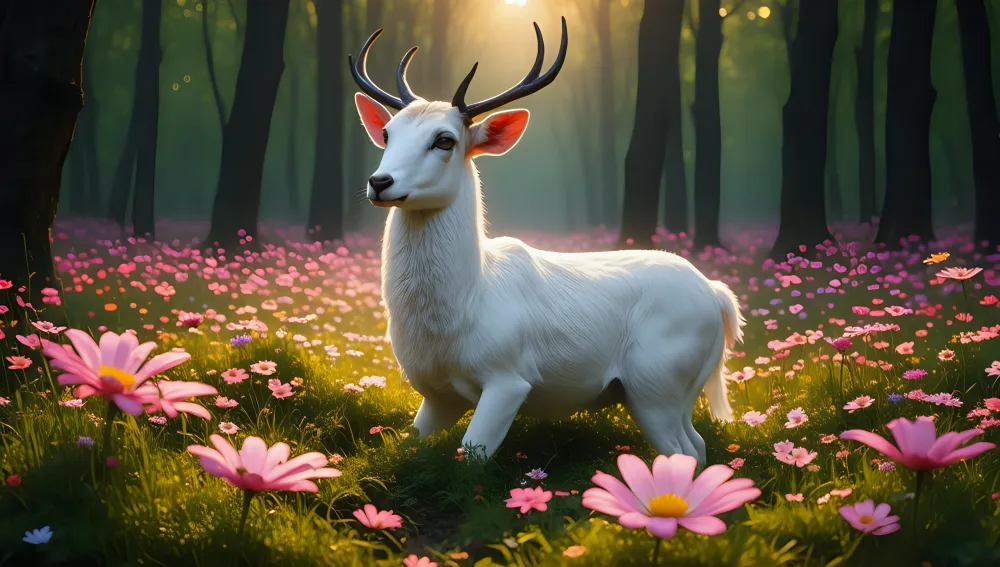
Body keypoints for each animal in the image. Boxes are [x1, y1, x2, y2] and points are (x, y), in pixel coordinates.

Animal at [349, 17, 744, 463]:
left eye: (444, 139)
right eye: (387, 132)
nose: (380, 182)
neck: (465, 305)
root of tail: (717, 296)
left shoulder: (508, 378)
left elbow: (472, 455)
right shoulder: (436, 395)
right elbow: (408, 446)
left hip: (656, 384)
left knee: (684, 451)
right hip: (674, 392)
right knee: (699, 444)